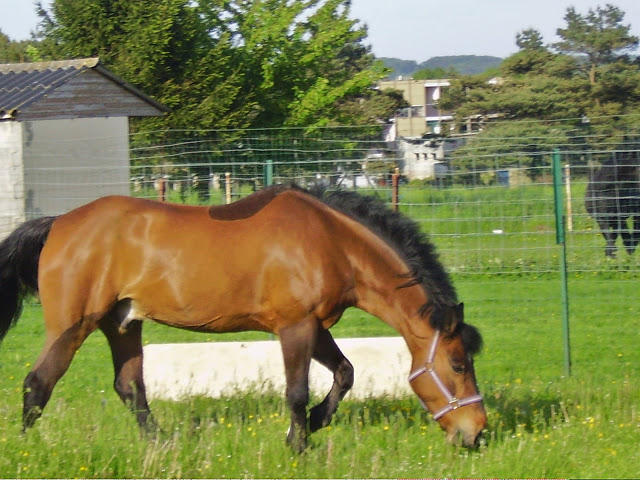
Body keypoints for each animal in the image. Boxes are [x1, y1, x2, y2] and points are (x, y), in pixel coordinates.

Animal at [0, 184, 484, 450]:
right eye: (458, 365)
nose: (476, 432)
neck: (331, 242)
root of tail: (59, 223)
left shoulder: (315, 327)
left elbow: (345, 373)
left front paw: (314, 425)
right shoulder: (294, 327)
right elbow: (296, 391)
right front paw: (298, 444)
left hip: (123, 324)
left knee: (130, 388)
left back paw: (162, 444)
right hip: (73, 325)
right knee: (38, 384)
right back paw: (29, 449)